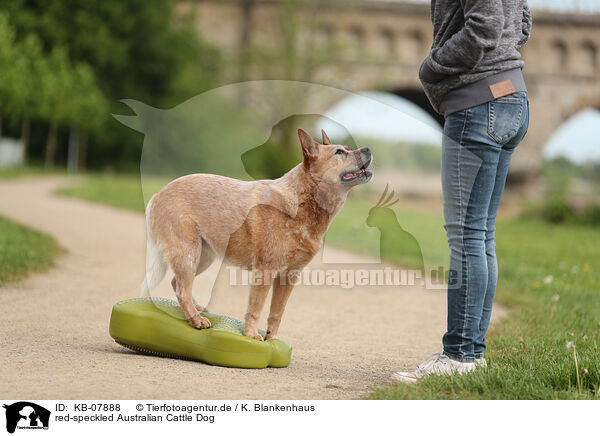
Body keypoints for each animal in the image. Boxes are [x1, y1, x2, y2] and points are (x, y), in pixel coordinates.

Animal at [142, 129, 372, 340]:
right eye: (339, 152)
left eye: (348, 148)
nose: (368, 149)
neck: (303, 203)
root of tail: (157, 194)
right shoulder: (266, 270)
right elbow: (256, 308)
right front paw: (252, 334)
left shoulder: (289, 275)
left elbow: (277, 312)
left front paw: (272, 339)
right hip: (188, 252)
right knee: (182, 288)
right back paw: (197, 319)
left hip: (205, 256)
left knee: (177, 284)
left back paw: (197, 310)